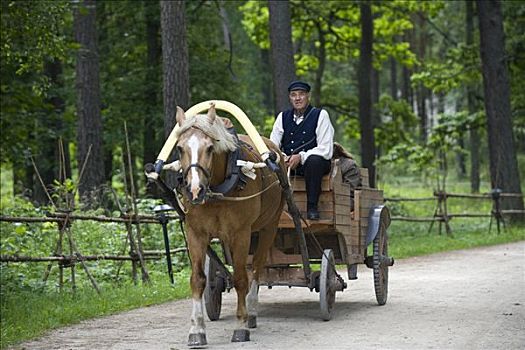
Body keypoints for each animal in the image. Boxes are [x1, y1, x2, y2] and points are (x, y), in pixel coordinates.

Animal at [173, 102, 284, 346]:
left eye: (209, 148)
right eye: (179, 148)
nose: (195, 190)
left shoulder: (241, 233)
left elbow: (242, 278)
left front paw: (240, 325)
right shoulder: (195, 233)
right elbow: (198, 279)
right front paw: (197, 330)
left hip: (268, 227)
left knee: (257, 268)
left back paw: (251, 311)